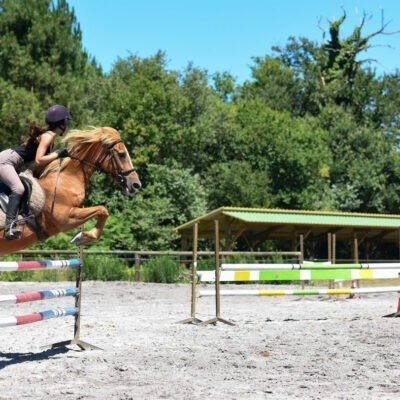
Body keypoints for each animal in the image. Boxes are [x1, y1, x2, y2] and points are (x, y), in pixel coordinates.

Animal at [0, 126, 142, 255]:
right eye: (122, 154)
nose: (136, 185)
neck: (67, 179)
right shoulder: (66, 219)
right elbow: (102, 209)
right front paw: (82, 237)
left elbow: (103, 211)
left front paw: (83, 236)